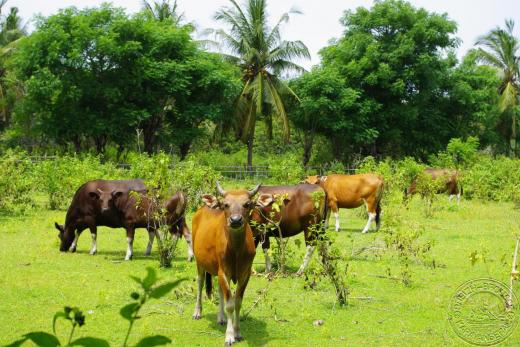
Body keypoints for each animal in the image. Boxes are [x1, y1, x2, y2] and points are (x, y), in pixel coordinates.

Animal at [191, 182, 266, 346]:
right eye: (226, 204)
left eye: (247, 204)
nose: (235, 220)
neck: (236, 250)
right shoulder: (224, 272)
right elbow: (230, 304)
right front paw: (229, 336)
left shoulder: (245, 273)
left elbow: (237, 302)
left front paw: (237, 332)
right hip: (199, 262)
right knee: (200, 283)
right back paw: (197, 312)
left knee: (219, 291)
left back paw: (221, 318)